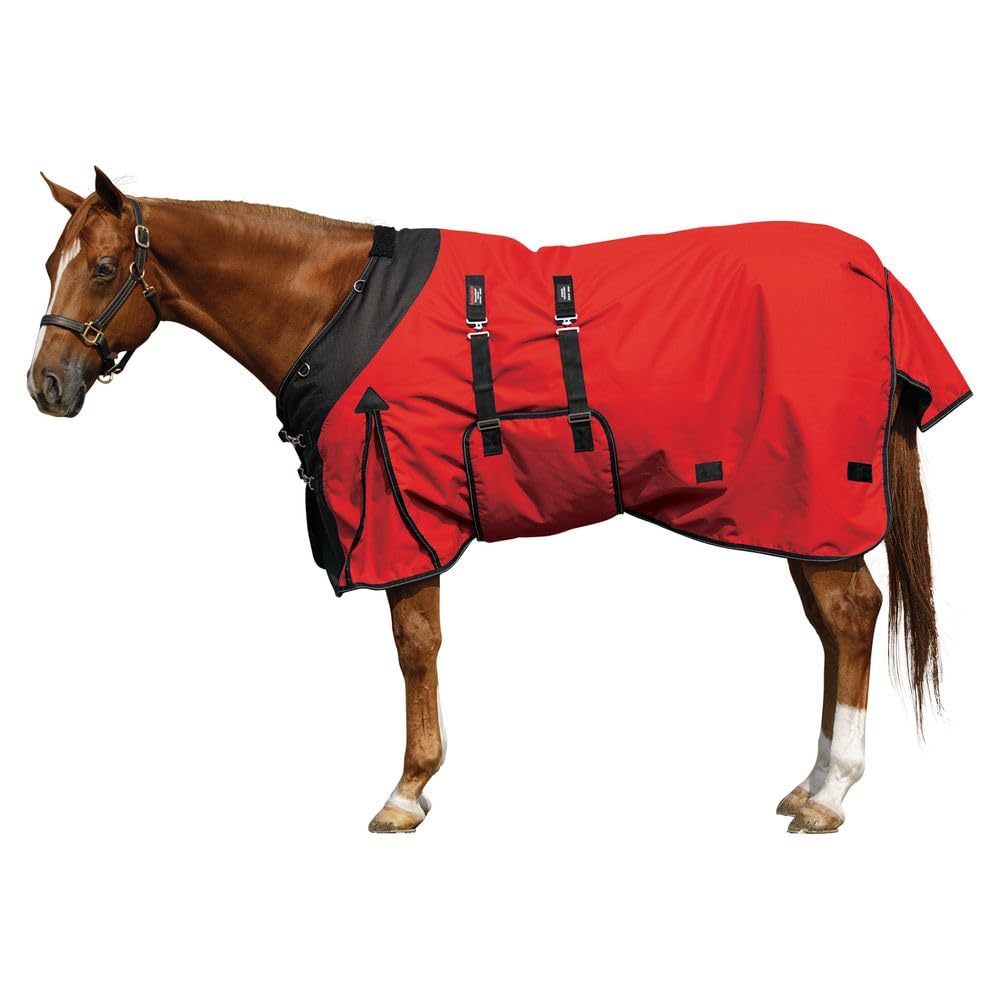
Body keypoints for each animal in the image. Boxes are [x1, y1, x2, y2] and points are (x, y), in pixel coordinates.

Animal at [28, 167, 966, 834]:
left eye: (104, 268)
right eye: (50, 264)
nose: (46, 385)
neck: (339, 304)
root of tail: (870, 268)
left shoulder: (401, 510)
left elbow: (416, 647)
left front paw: (407, 790)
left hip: (813, 505)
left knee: (850, 615)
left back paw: (832, 794)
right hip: (793, 513)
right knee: (835, 624)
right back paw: (812, 782)